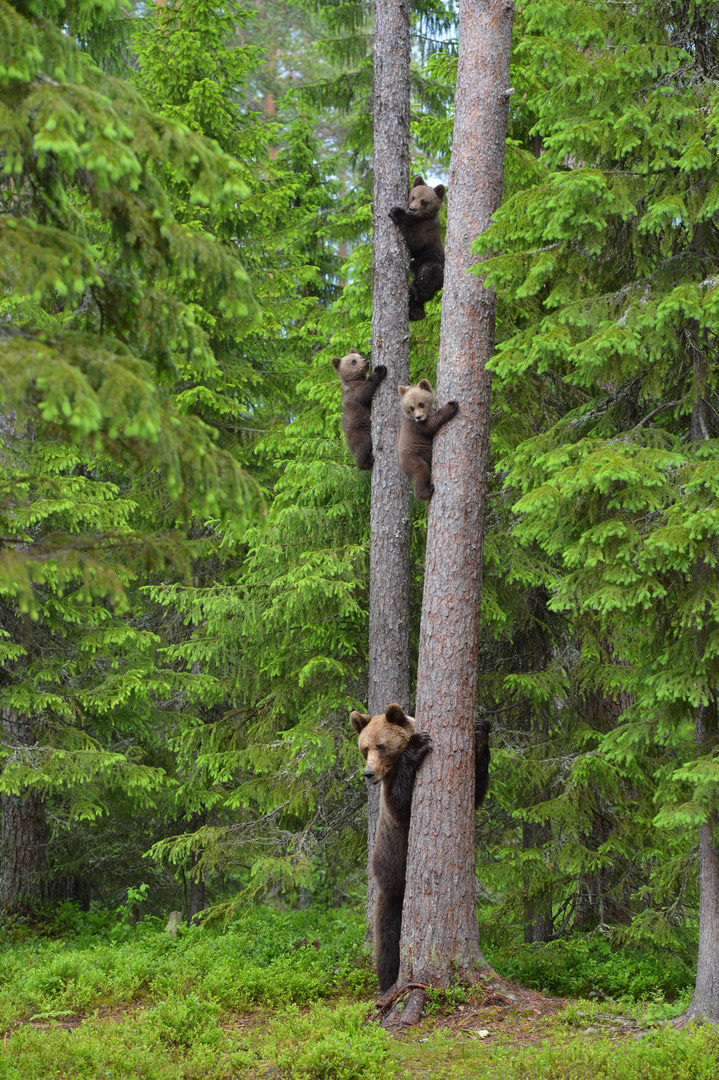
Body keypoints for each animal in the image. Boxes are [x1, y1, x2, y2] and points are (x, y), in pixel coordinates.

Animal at [349, 699, 490, 993]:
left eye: (381, 746)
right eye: (365, 748)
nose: (368, 773)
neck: (388, 770)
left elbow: (475, 793)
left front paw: (481, 733)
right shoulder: (391, 800)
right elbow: (402, 803)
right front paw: (418, 744)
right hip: (389, 878)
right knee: (388, 938)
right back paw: (389, 981)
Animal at [386, 174, 442, 319]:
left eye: (424, 201)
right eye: (413, 197)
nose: (411, 209)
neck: (419, 219)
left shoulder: (427, 230)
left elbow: (416, 239)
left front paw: (397, 212)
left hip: (434, 263)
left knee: (428, 273)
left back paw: (417, 293)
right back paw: (415, 312)